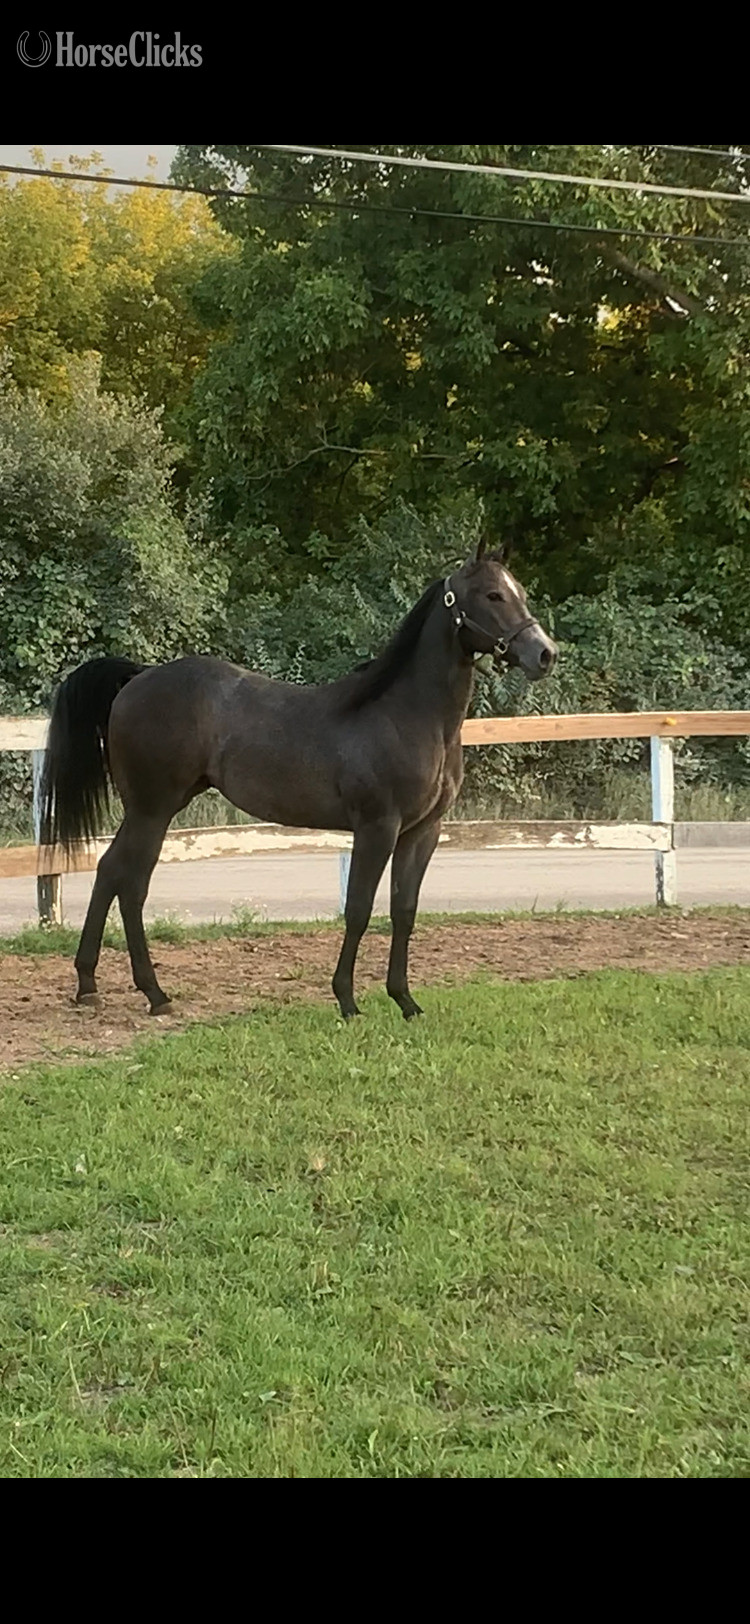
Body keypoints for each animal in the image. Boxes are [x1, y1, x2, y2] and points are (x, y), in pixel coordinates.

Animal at [41, 539, 557, 1021]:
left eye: (521, 592)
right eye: (492, 595)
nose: (545, 654)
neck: (408, 716)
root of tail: (138, 677)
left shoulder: (422, 832)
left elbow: (404, 912)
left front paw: (405, 1001)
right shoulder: (377, 828)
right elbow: (359, 910)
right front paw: (347, 1000)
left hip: (151, 809)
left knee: (110, 872)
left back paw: (90, 984)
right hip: (153, 809)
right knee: (130, 884)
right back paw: (153, 993)